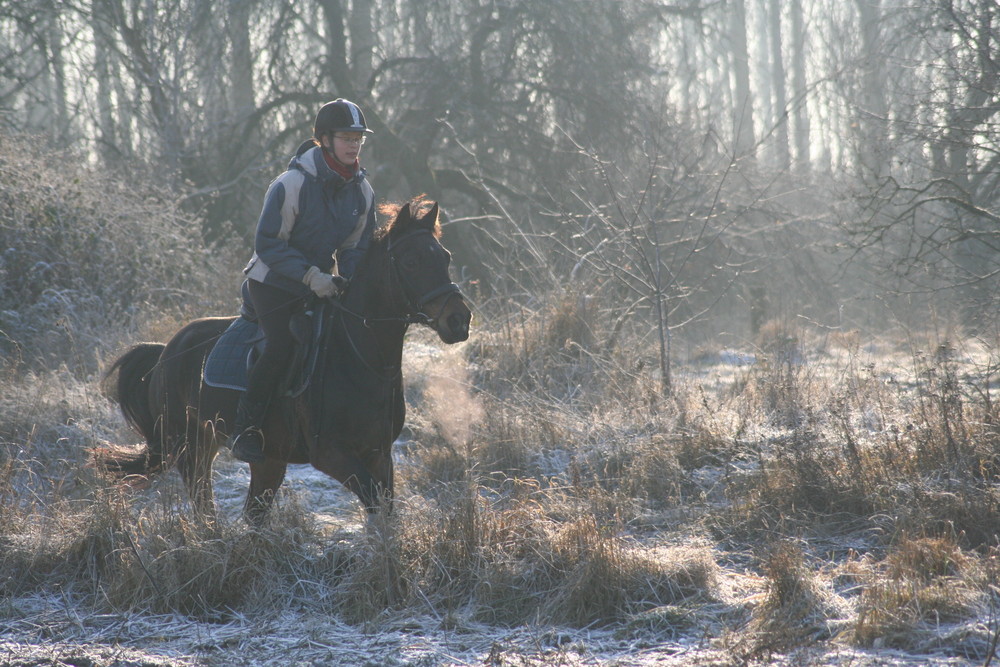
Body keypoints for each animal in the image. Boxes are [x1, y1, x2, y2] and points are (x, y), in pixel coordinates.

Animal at [99, 201, 474, 524]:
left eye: (445, 257)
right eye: (410, 261)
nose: (459, 319)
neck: (362, 358)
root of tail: (166, 351)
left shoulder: (380, 454)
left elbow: (384, 511)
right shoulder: (331, 455)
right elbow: (374, 503)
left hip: (267, 459)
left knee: (252, 514)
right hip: (190, 446)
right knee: (204, 505)